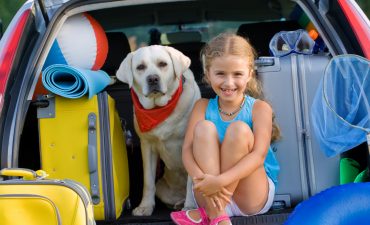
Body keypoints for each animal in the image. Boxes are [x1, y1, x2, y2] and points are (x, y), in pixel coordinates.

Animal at [117, 44, 201, 215]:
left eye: (163, 64)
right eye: (140, 67)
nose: (153, 79)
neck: (160, 109)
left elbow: (191, 181)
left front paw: (190, 206)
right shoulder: (147, 146)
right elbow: (148, 181)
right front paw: (145, 206)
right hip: (163, 188)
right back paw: (178, 203)